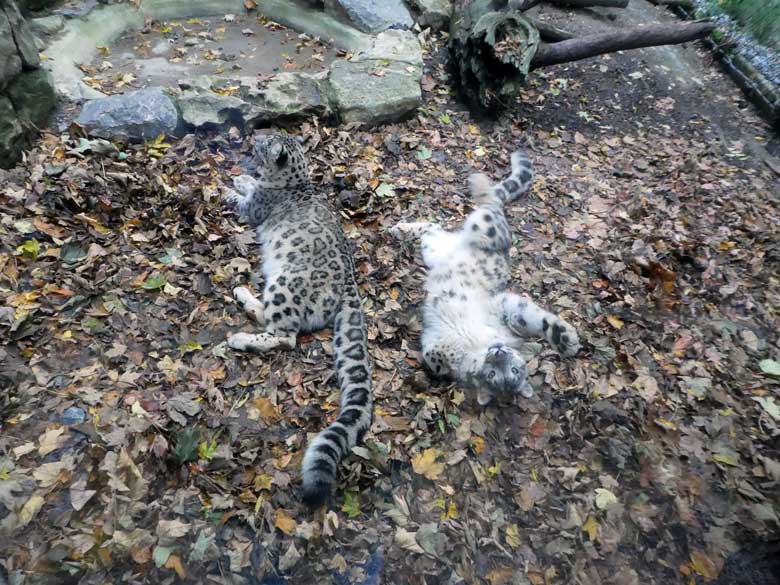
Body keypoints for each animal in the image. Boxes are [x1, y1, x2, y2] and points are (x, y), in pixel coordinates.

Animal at [222, 135, 372, 504]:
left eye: (264, 144)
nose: (254, 137)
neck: (293, 181)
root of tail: (351, 286)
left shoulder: (254, 209)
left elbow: (241, 201)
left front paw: (225, 187)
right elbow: (250, 185)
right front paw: (241, 178)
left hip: (285, 284)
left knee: (284, 334)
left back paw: (241, 329)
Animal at [390, 151, 580, 404]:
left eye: (511, 371)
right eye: (495, 372)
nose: (498, 351)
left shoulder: (433, 350)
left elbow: (438, 358)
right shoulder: (501, 307)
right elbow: (533, 318)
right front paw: (566, 339)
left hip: (434, 248)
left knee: (434, 226)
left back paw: (402, 229)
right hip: (487, 228)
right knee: (489, 201)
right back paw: (477, 184)